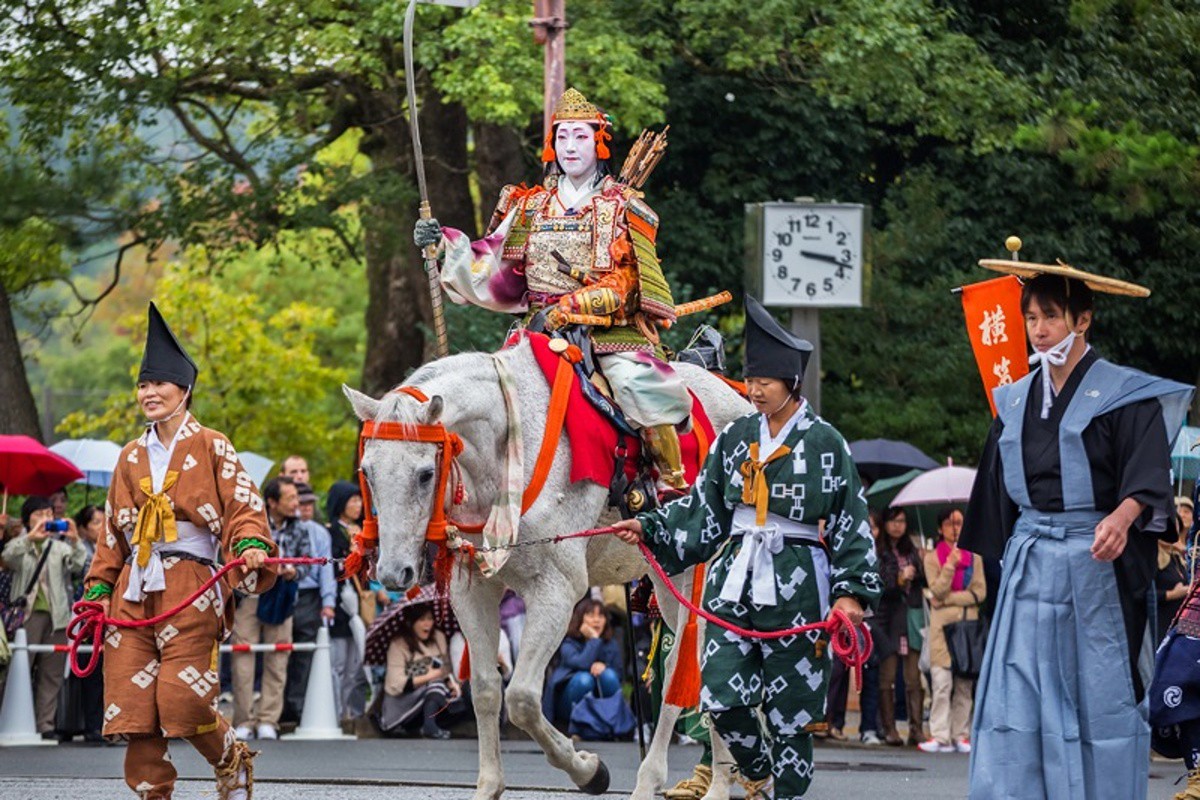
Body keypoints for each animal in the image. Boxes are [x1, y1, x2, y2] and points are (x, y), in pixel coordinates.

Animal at [340, 338, 748, 800]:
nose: (395, 573)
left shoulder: (557, 591)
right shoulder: (473, 591)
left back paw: (668, 781)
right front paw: (489, 786)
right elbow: (486, 690)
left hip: (697, 568)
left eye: (426, 474)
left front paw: (589, 771)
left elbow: (521, 698)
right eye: (367, 472)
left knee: (693, 661)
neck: (504, 454)